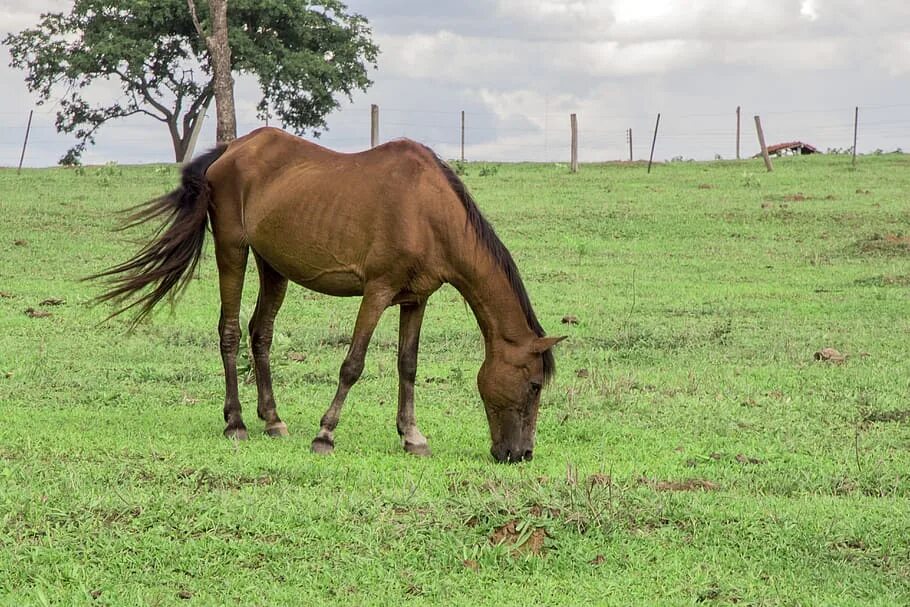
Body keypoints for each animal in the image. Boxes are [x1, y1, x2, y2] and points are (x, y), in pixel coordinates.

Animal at [92, 127, 564, 460]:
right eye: (534, 385)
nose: (520, 454)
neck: (428, 212)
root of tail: (229, 151)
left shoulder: (416, 299)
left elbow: (407, 366)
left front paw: (412, 436)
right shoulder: (377, 291)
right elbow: (352, 364)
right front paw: (325, 434)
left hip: (273, 266)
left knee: (260, 334)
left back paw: (273, 420)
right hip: (232, 248)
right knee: (229, 331)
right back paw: (236, 422)